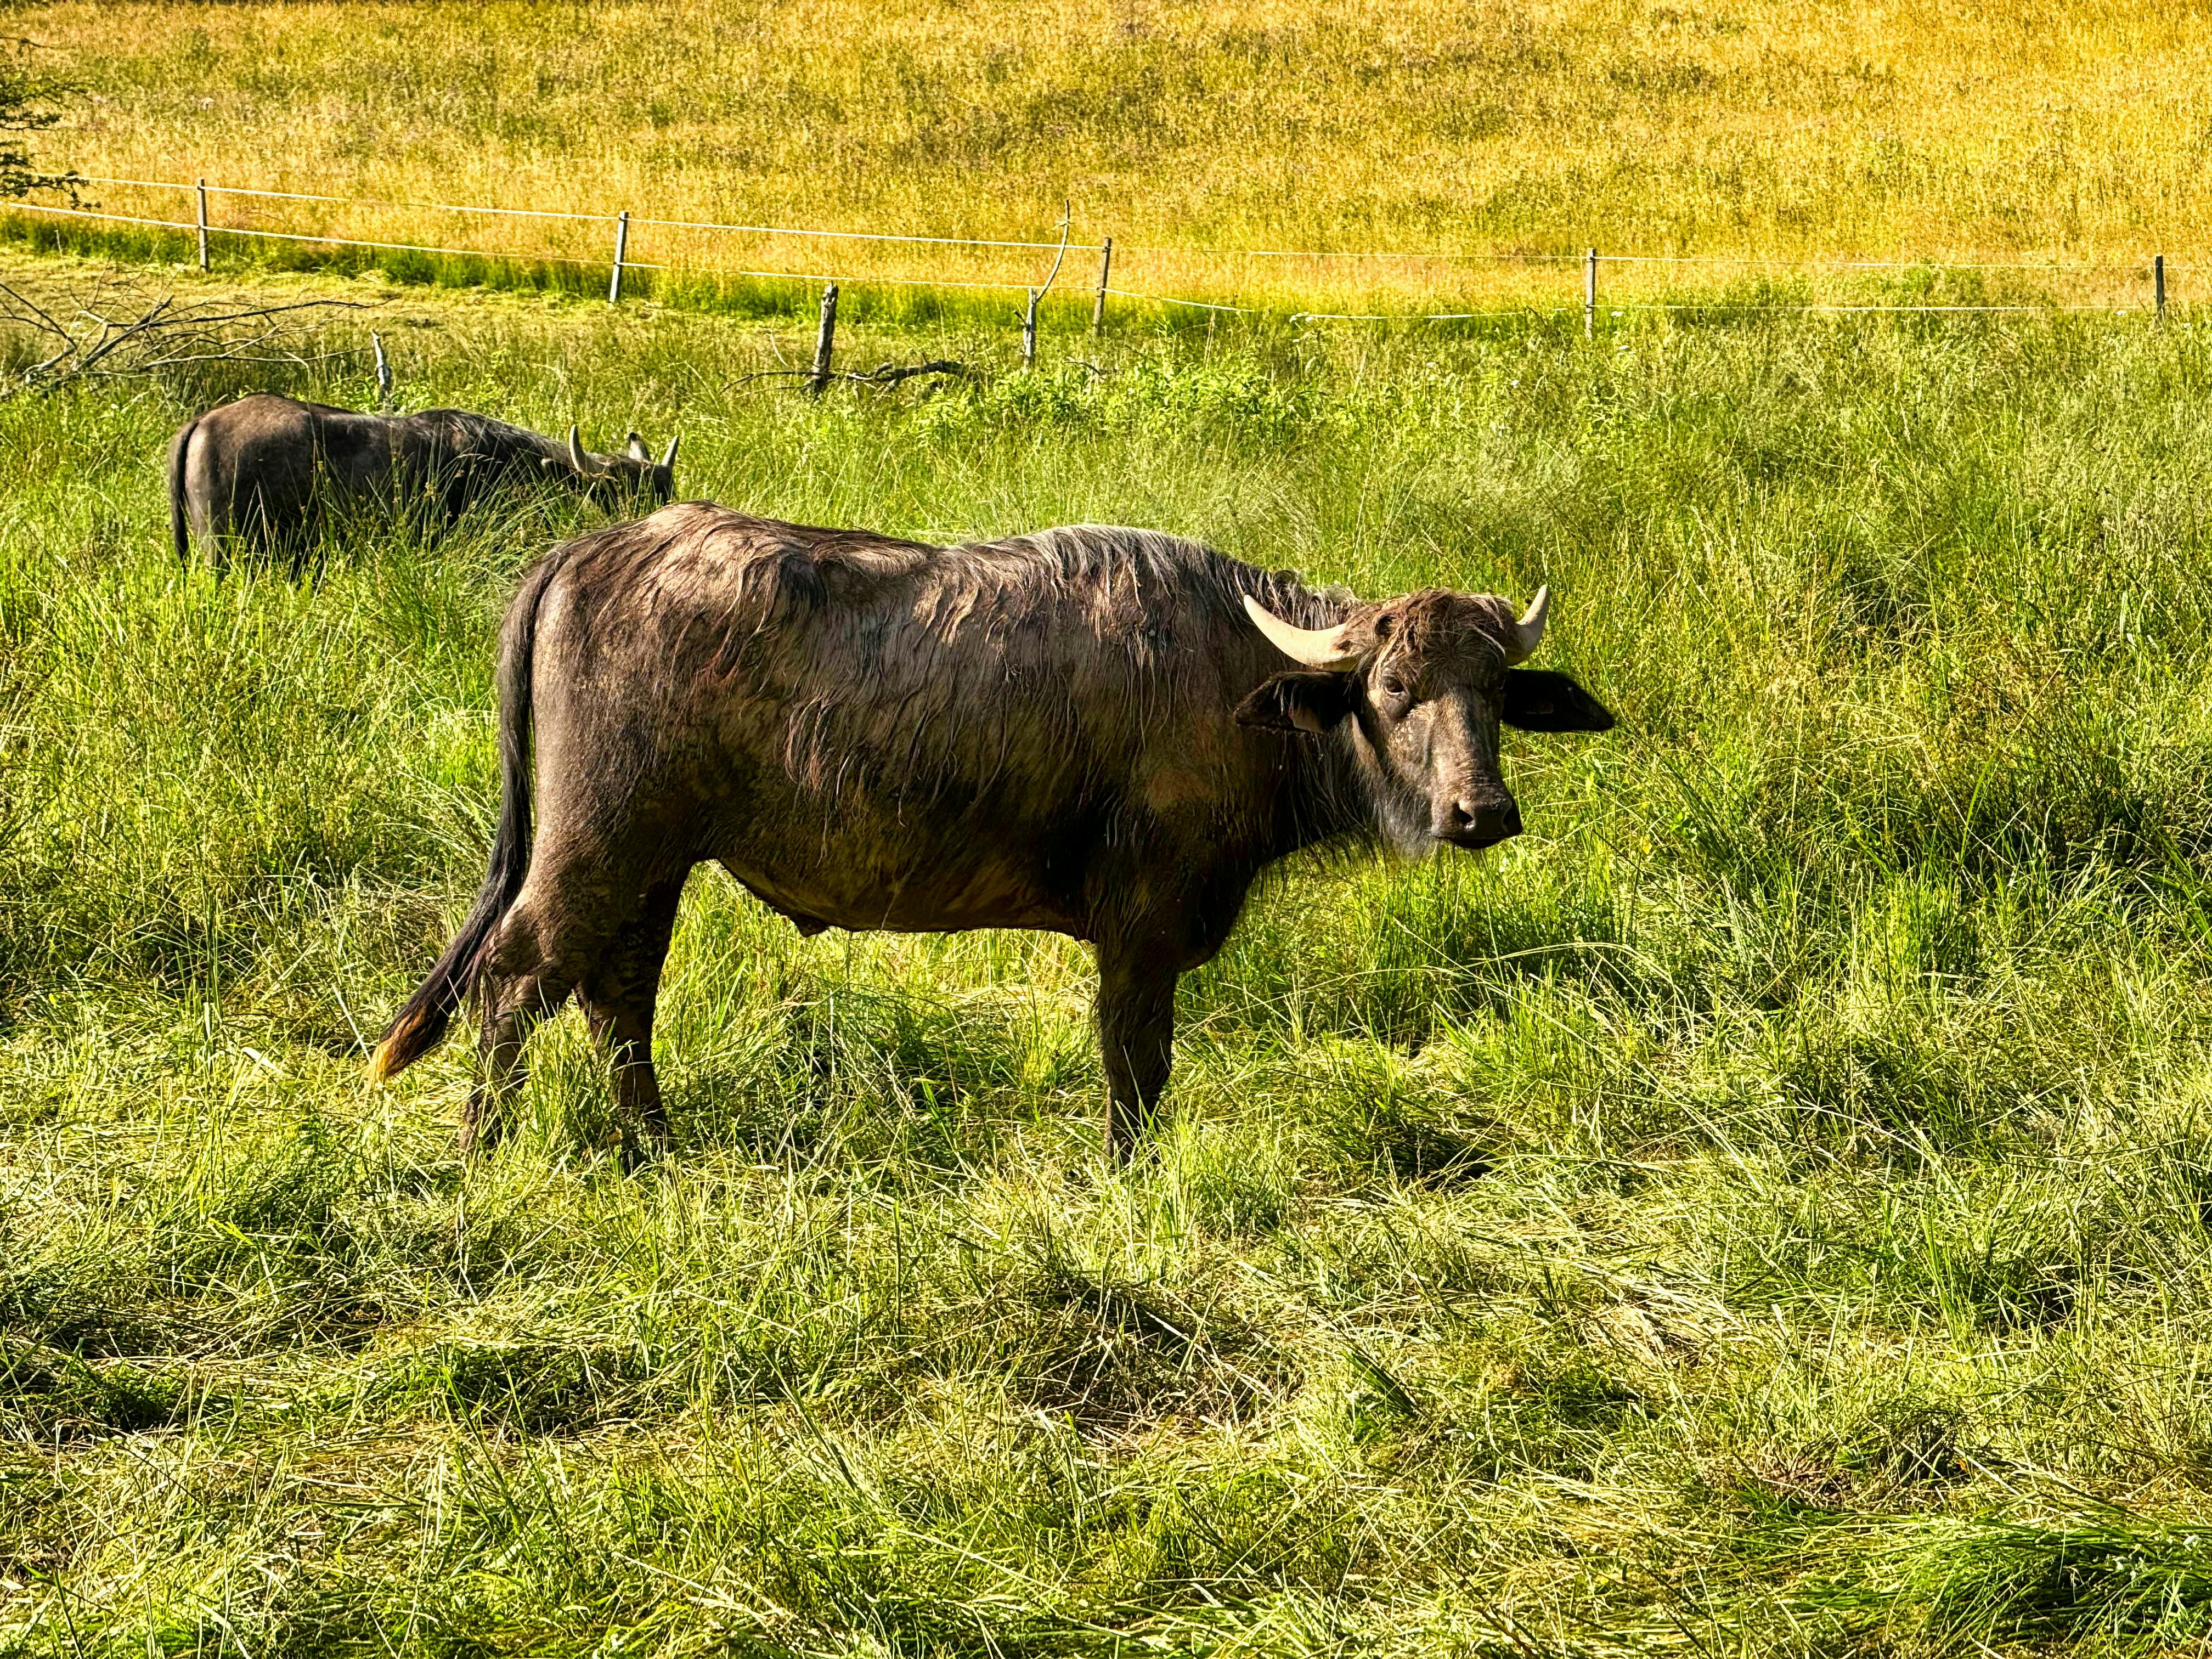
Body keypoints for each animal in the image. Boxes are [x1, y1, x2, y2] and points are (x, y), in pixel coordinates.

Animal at [371, 506, 1615, 1160]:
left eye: (1494, 693)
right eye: (1396, 688)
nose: (1481, 812)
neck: (1231, 679)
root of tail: (593, 547)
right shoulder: (1141, 929)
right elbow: (1136, 1064)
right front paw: (1126, 1171)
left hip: (656, 859)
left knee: (617, 991)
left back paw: (655, 1149)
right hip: (600, 842)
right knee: (516, 977)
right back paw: (485, 1148)